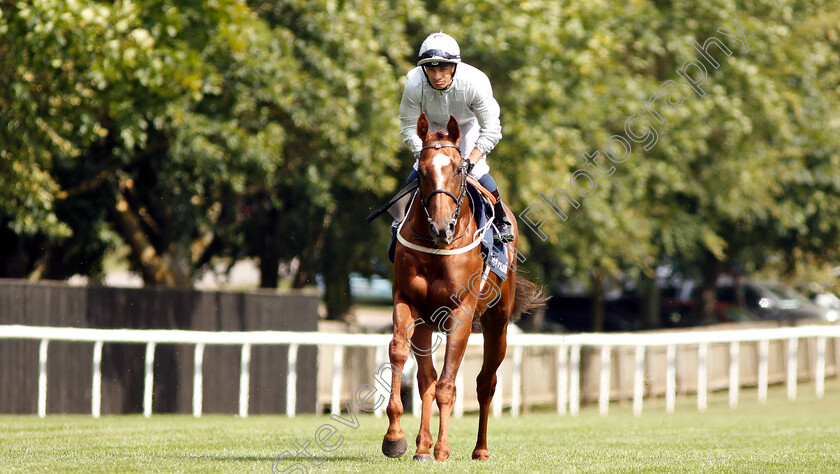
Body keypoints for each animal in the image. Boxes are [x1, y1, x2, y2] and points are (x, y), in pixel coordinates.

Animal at [382, 113, 544, 462]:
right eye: (422, 169)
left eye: (458, 168)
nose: (442, 227)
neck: (436, 247)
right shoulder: (407, 301)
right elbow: (401, 353)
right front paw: (396, 437)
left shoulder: (462, 312)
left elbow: (448, 384)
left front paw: (443, 449)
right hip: (427, 323)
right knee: (426, 379)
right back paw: (422, 447)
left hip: (497, 322)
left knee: (486, 382)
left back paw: (479, 449)